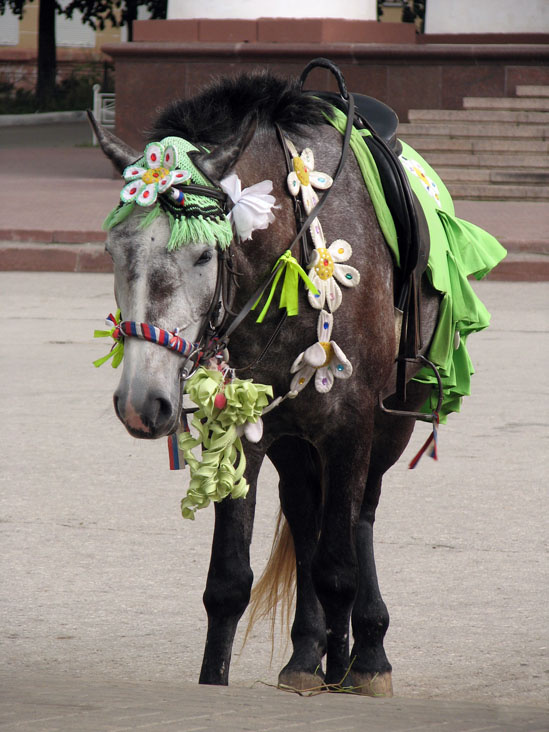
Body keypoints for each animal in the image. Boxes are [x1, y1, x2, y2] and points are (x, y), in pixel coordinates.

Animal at [91, 65, 470, 697]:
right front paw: (219, 676)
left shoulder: (351, 427)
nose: (142, 403)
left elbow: (338, 568)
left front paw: (348, 667)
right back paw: (306, 653)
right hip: (294, 439)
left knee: (359, 518)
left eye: (203, 256)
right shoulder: (243, 427)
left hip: (388, 427)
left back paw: (366, 654)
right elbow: (228, 582)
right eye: (113, 250)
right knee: (304, 514)